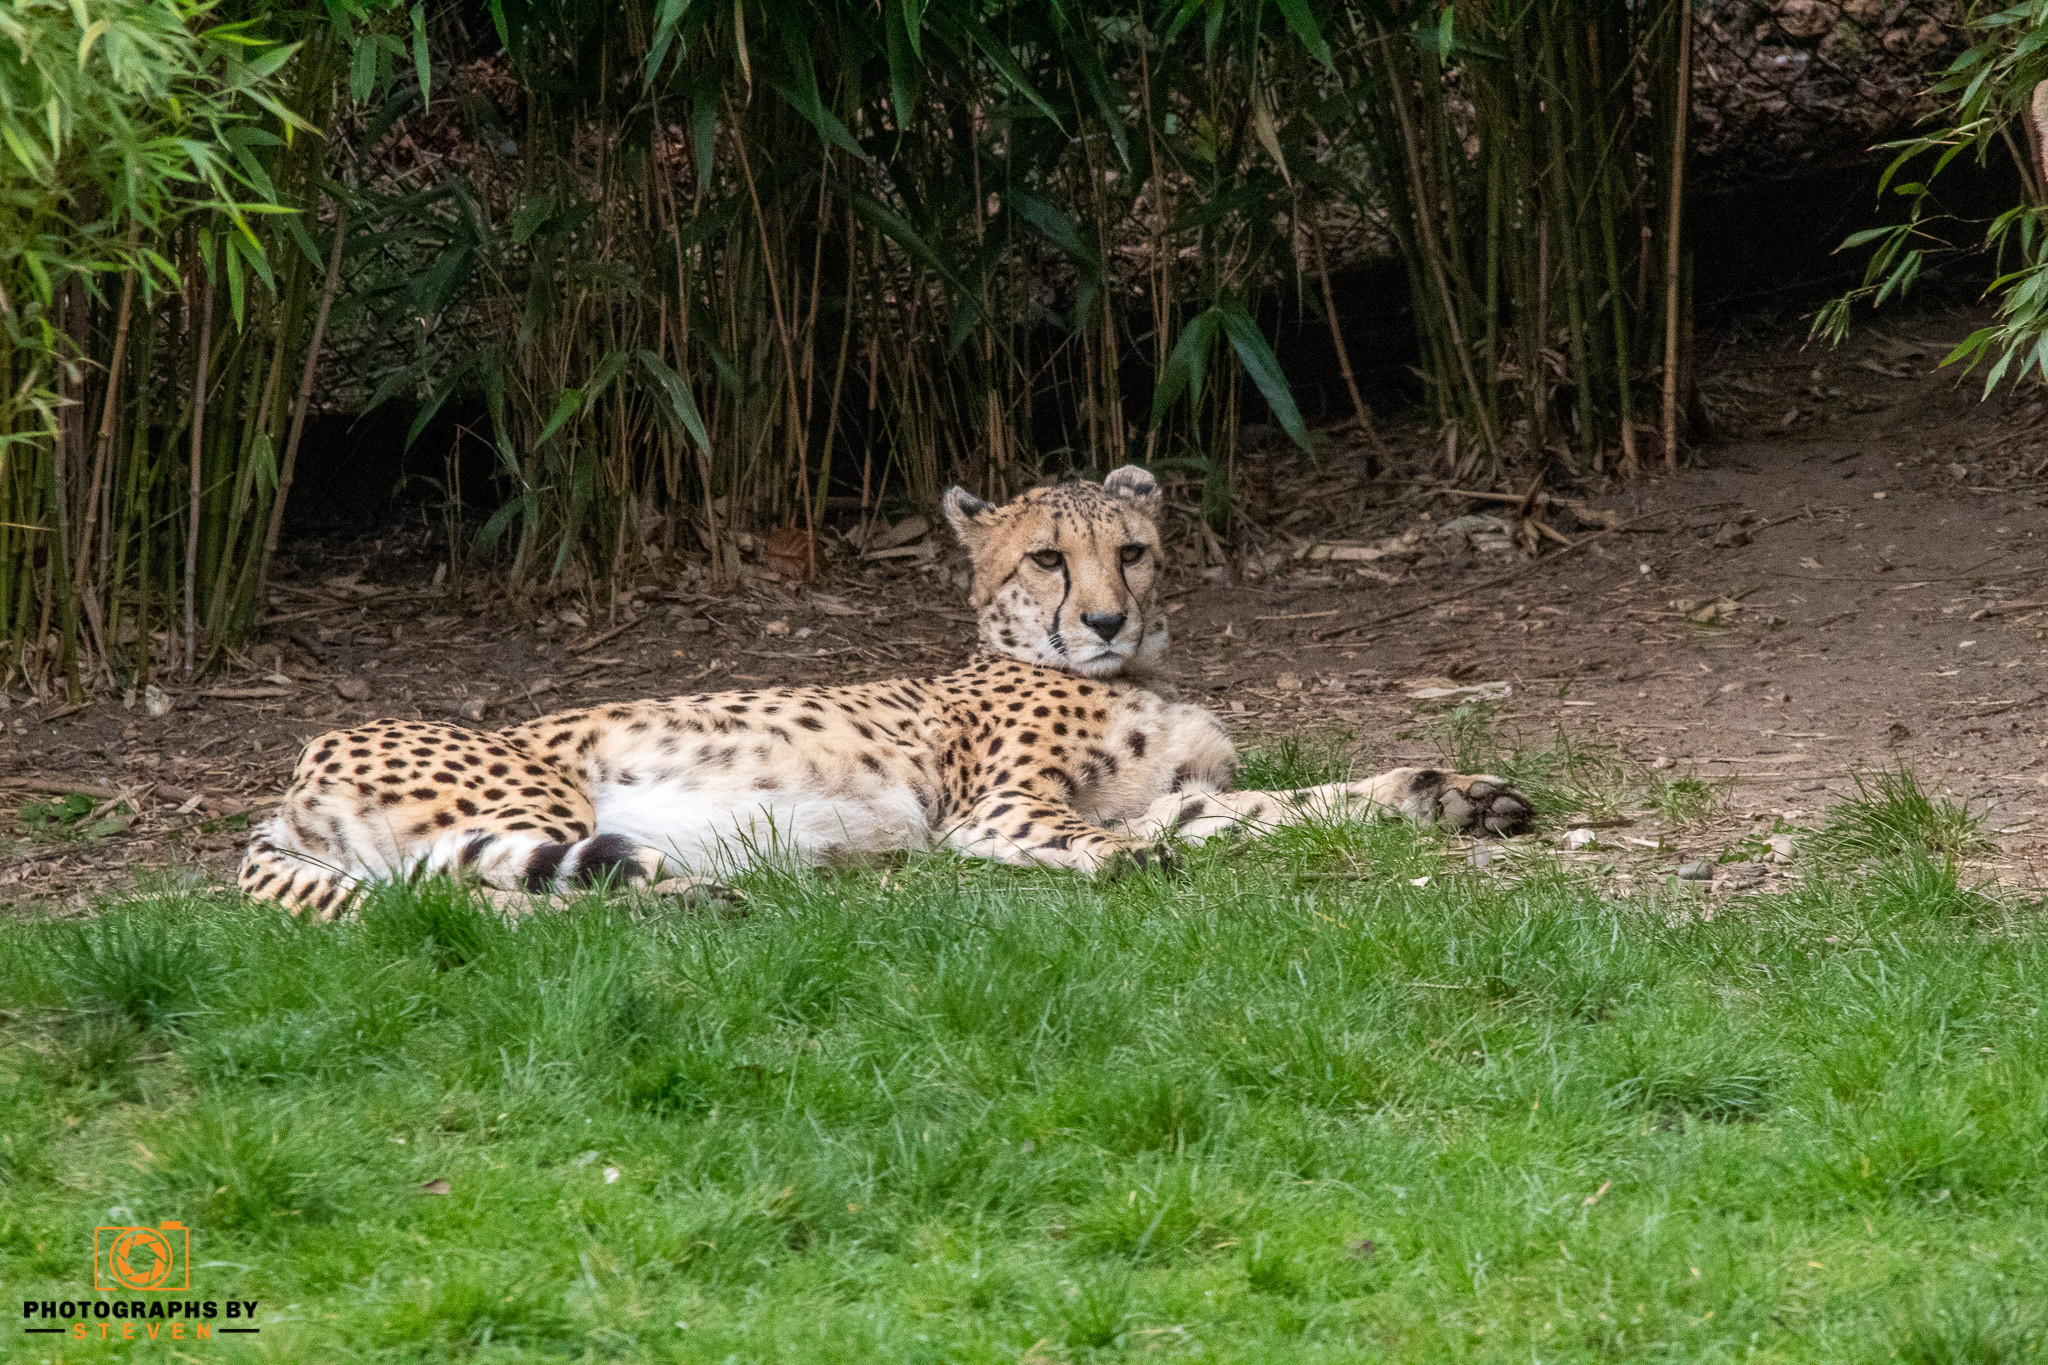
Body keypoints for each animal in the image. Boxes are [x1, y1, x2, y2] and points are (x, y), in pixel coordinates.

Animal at [232, 464, 1531, 925]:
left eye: (1133, 551)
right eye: (1046, 560)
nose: (1105, 620)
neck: (1131, 672)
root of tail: (297, 759)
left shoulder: (1184, 796)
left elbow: (1297, 804)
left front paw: (1450, 793)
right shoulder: (995, 811)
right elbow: (1093, 839)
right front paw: (1121, 866)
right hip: (536, 798)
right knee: (485, 912)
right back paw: (689, 909)